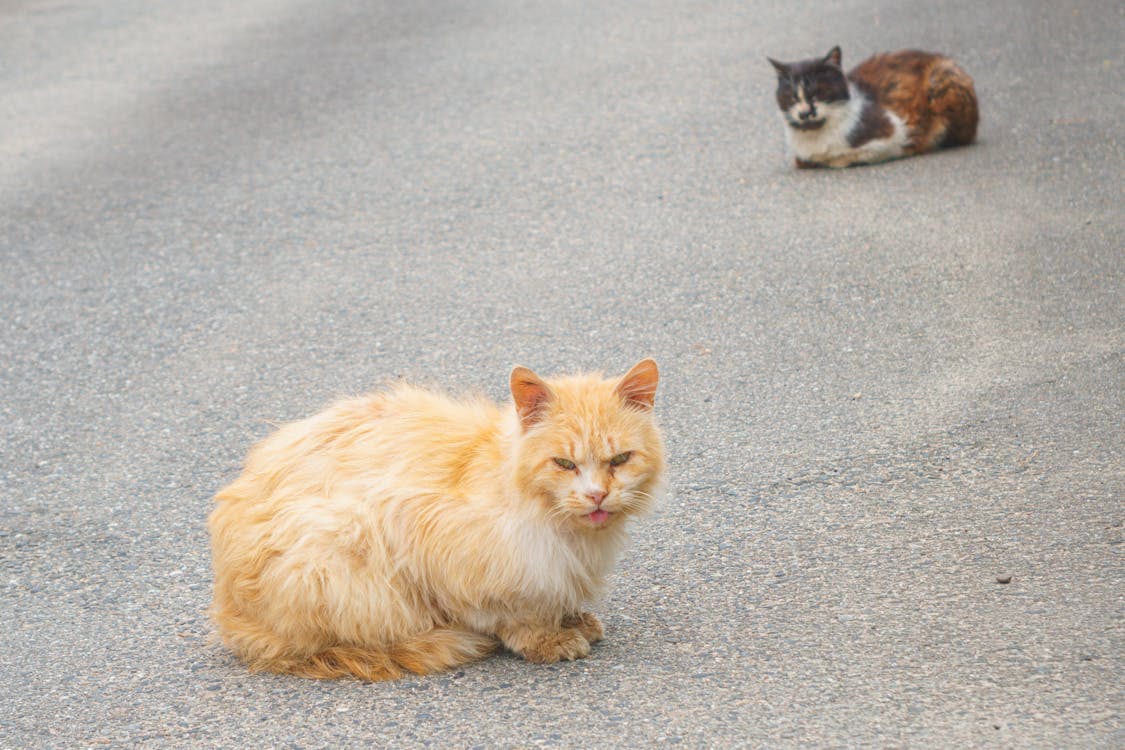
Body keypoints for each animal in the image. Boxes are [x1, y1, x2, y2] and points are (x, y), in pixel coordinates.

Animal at [207, 359, 661, 683]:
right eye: (564, 464)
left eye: (620, 460)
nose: (597, 494)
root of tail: (230, 613)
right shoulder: (440, 543)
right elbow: (512, 611)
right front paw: (547, 638)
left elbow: (555, 593)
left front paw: (572, 618)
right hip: (339, 559)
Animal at [769, 47, 981, 169]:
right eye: (792, 97)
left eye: (817, 94)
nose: (805, 113)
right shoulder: (801, 156)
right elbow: (804, 161)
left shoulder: (894, 134)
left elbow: (847, 158)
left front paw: (835, 160)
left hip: (942, 79)